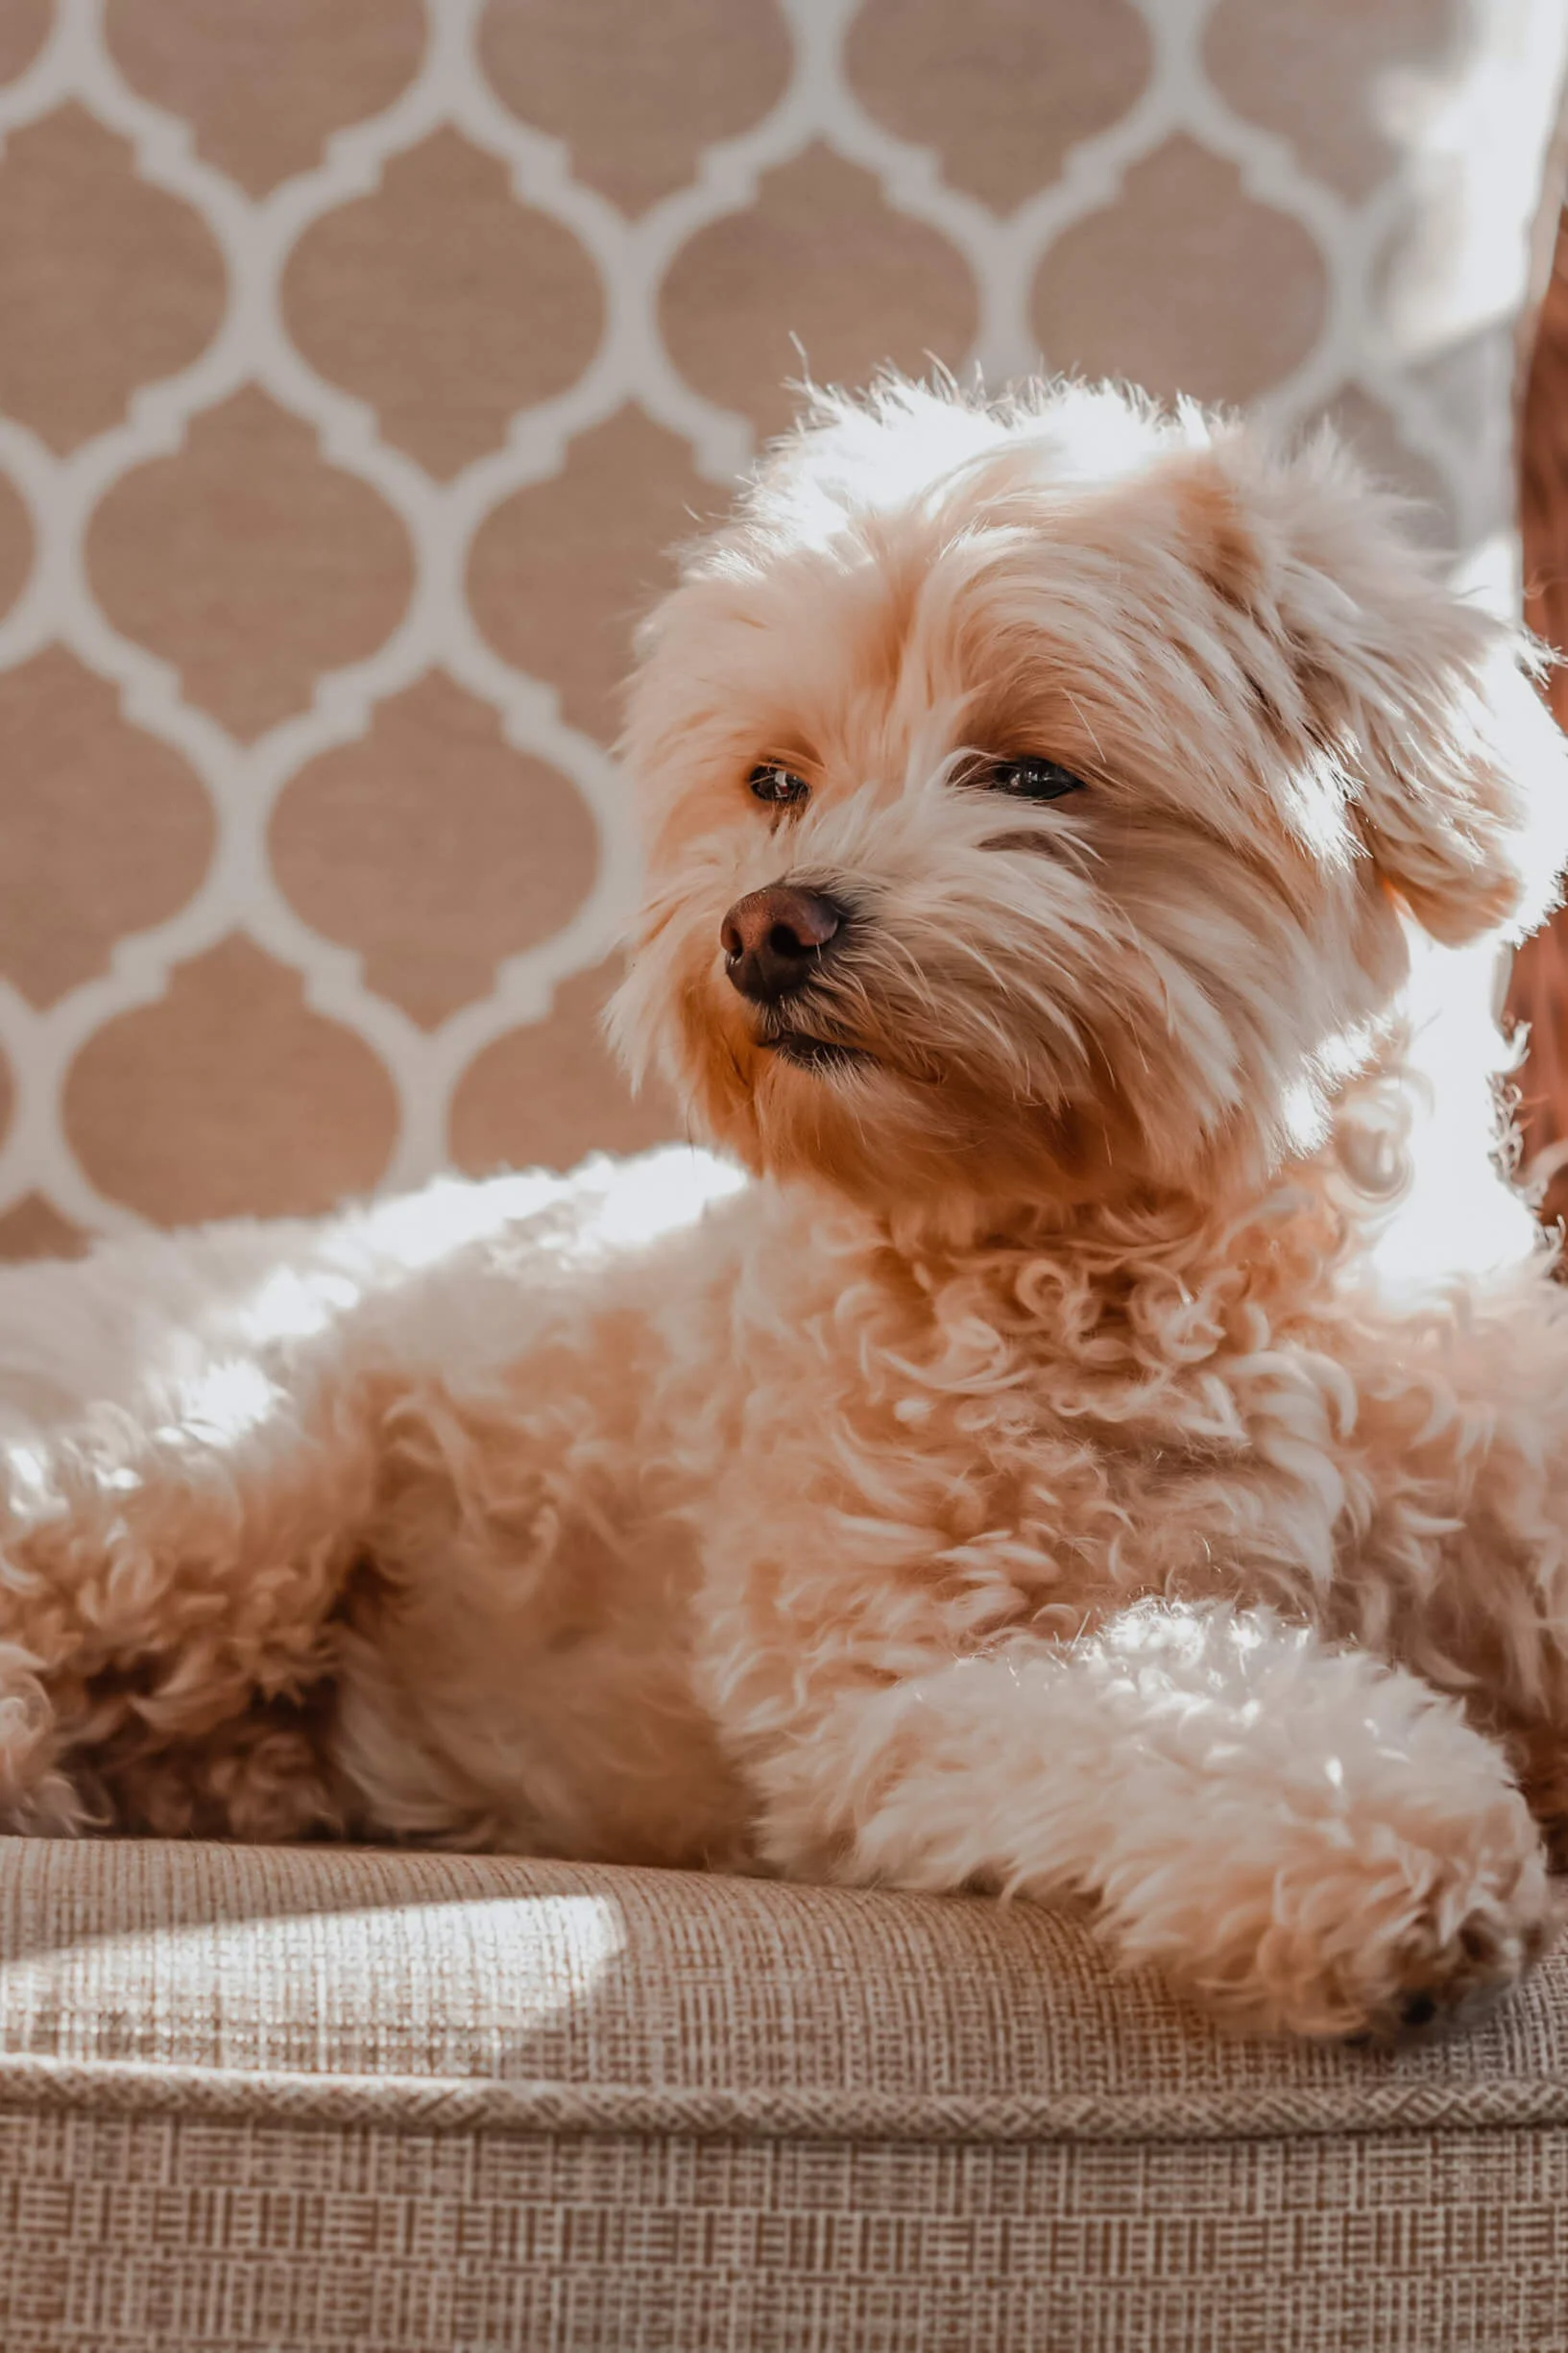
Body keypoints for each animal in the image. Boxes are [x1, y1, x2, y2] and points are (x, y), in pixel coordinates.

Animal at [9, 380, 1568, 2042]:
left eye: (1033, 774)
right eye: (776, 782)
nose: (766, 925)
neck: (1147, 1267)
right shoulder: (899, 1685)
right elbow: (1184, 1698)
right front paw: (1398, 1849)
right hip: (224, 1481)